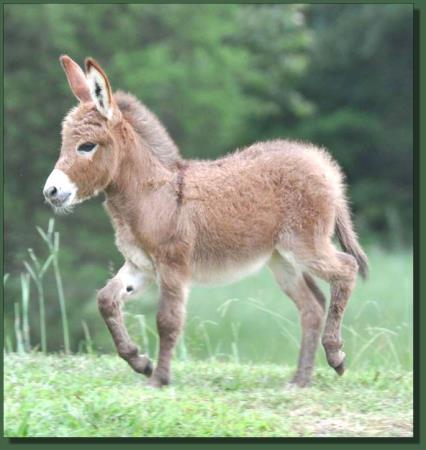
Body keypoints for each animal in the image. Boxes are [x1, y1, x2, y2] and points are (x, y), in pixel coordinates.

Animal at [44, 56, 370, 386]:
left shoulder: (172, 266)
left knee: (346, 269)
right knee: (312, 306)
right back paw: (301, 379)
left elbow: (168, 320)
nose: (50, 192)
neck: (151, 194)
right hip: (281, 260)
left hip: (304, 245)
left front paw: (159, 379)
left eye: (86, 146)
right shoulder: (141, 266)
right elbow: (106, 300)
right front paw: (139, 361)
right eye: (64, 143)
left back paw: (335, 355)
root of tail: (321, 162)